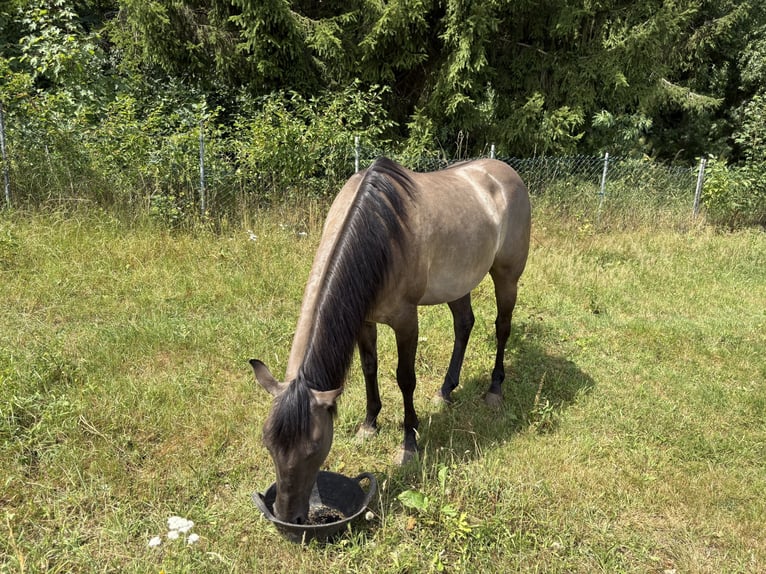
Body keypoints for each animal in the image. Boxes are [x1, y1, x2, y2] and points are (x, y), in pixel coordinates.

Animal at [250, 156, 531, 525]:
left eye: (313, 449)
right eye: (268, 444)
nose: (287, 517)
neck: (379, 232)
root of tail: (504, 171)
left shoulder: (405, 320)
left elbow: (405, 379)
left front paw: (409, 443)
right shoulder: (364, 320)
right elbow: (370, 368)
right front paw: (369, 424)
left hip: (507, 275)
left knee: (502, 327)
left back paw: (495, 389)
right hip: (458, 281)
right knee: (464, 325)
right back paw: (445, 390)